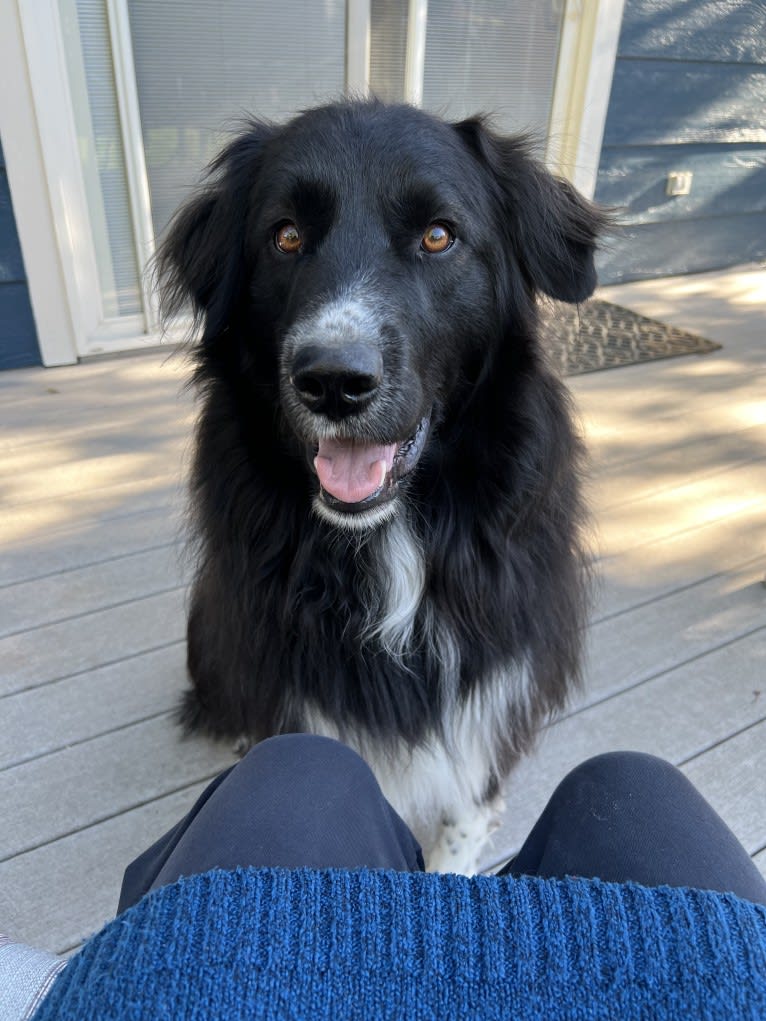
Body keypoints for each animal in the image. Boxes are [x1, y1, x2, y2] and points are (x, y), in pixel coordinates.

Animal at [159, 99, 608, 873]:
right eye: (285, 236)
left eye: (438, 235)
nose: (333, 382)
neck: (387, 536)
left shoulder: (490, 694)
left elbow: (462, 820)